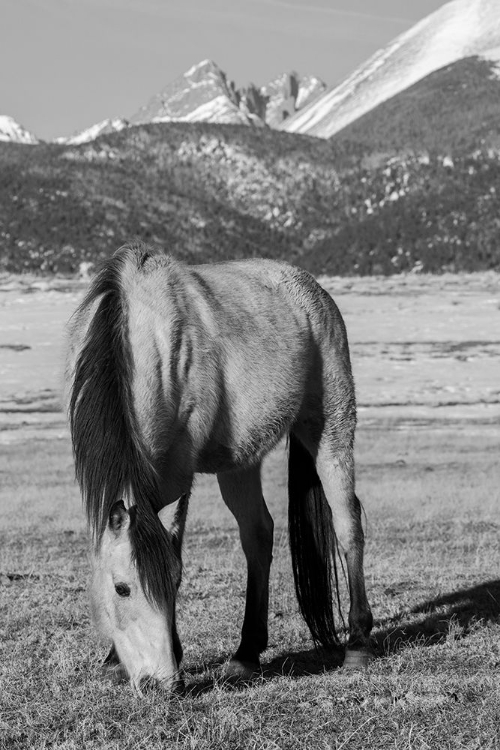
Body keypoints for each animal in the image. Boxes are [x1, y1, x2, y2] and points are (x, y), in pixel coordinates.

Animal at [65, 245, 372, 692]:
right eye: (121, 588)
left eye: (172, 582)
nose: (162, 685)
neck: (137, 333)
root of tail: (314, 290)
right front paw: (113, 661)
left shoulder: (178, 473)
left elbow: (174, 544)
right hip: (241, 462)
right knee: (258, 534)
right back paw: (246, 654)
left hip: (330, 427)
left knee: (347, 524)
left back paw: (358, 644)